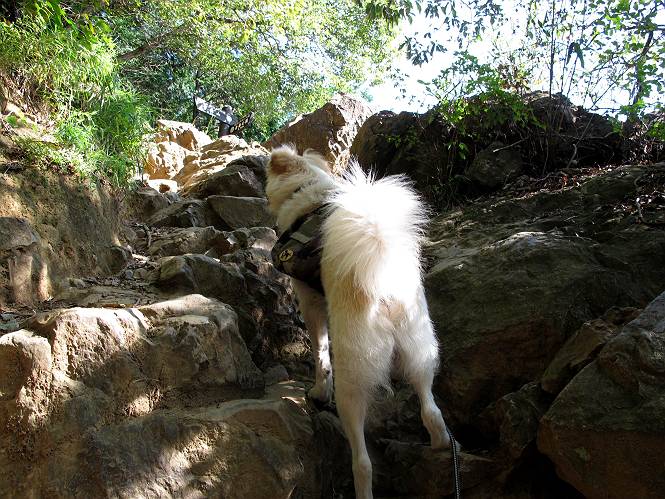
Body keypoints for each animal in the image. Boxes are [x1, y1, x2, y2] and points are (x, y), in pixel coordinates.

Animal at [266, 145, 455, 499]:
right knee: (431, 408)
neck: (309, 192)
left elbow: (319, 354)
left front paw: (318, 391)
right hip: (421, 347)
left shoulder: (310, 302)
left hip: (352, 381)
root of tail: (384, 286)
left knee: (363, 460)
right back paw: (441, 444)